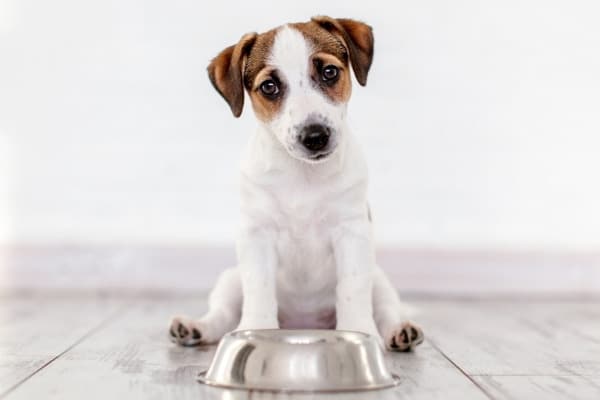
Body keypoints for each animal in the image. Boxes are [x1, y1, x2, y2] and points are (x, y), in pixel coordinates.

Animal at [166, 17, 424, 352]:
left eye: (329, 72)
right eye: (269, 87)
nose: (315, 136)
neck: (303, 175)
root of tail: (304, 323)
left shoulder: (352, 233)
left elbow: (352, 289)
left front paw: (358, 332)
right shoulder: (256, 235)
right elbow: (259, 289)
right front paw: (256, 330)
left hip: (379, 280)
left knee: (387, 309)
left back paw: (400, 331)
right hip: (231, 280)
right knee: (222, 314)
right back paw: (195, 328)